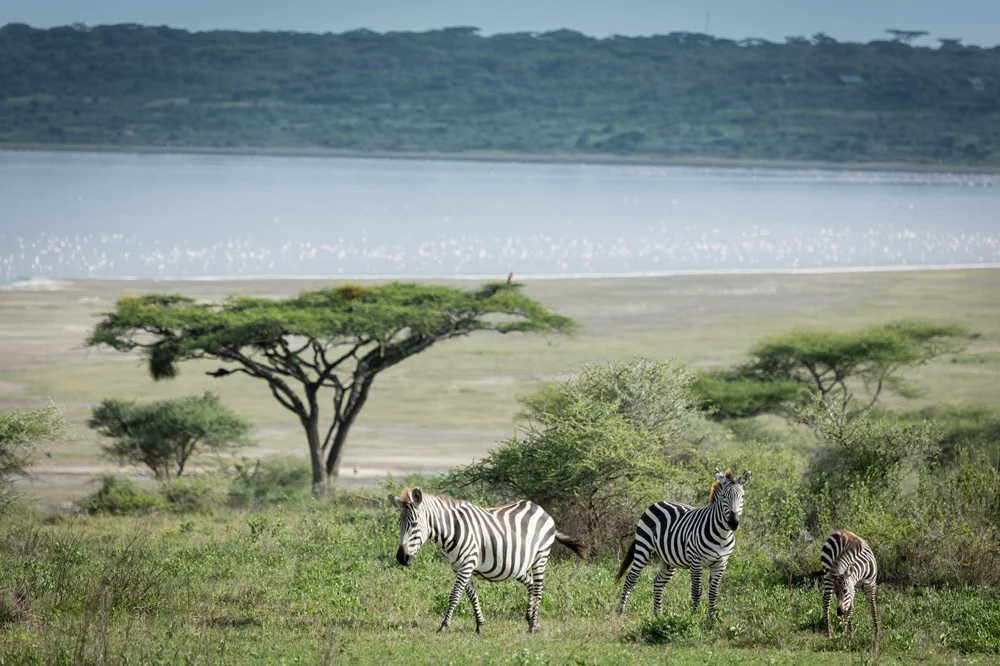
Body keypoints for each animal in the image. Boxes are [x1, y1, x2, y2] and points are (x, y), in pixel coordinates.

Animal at [387, 487, 588, 633]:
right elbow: (471, 596)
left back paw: (532, 627)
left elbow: (455, 595)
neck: (450, 530)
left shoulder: (467, 563)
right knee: (531, 584)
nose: (401, 558)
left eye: (414, 524)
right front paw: (480, 625)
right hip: (518, 565)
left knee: (538, 589)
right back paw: (531, 619)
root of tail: (541, 509)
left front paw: (444, 626)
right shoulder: (459, 566)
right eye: (399, 524)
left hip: (541, 555)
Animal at [615, 468, 751, 618]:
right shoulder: (696, 562)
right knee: (631, 578)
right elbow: (696, 591)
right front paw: (693, 617)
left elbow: (713, 593)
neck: (722, 536)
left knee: (658, 582)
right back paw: (621, 611)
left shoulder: (721, 564)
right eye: (724, 497)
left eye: (742, 497)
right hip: (643, 548)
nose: (733, 523)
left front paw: (710, 619)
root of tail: (656, 503)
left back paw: (658, 615)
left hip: (668, 560)